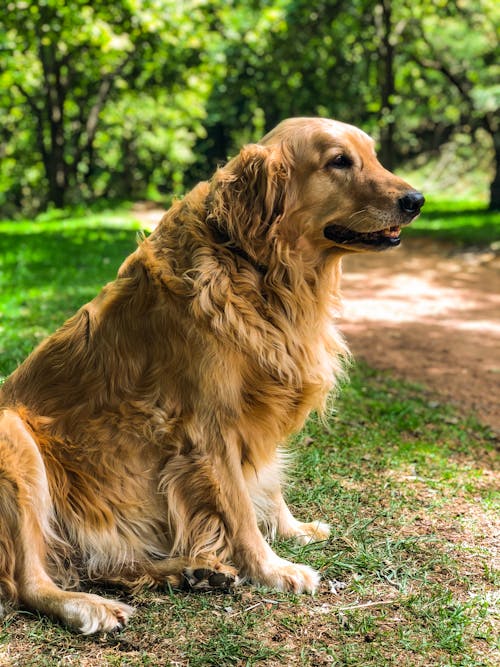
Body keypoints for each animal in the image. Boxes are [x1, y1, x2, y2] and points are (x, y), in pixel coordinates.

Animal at [0, 117, 422, 636]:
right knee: (28, 582)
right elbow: (238, 508)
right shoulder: (210, 428)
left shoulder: (257, 415)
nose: (417, 200)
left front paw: (293, 530)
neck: (257, 269)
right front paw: (272, 568)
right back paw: (89, 605)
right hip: (14, 437)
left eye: (373, 155)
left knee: (102, 566)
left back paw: (192, 571)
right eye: (339, 161)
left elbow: (268, 485)